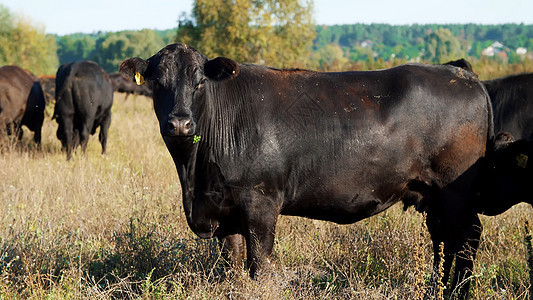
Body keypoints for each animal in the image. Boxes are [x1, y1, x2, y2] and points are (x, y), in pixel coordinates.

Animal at [118, 43, 492, 298]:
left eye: (199, 82)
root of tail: (460, 72)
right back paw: (437, 290)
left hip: (455, 192)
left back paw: (457, 292)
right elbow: (233, 267)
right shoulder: (226, 213)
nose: (180, 123)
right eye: (157, 82)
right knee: (444, 240)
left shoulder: (261, 204)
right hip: (434, 197)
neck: (194, 177)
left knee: (466, 238)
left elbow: (260, 265)